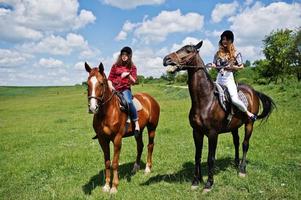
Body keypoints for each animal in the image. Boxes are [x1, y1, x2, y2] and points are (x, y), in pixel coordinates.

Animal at [84, 62, 159, 194]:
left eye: (101, 83)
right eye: (87, 84)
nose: (93, 108)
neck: (107, 112)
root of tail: (150, 99)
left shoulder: (117, 139)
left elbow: (114, 163)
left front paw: (114, 187)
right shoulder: (102, 140)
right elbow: (107, 162)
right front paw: (106, 186)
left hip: (152, 128)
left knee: (150, 146)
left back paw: (147, 169)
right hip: (138, 131)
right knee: (140, 146)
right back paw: (135, 168)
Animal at [162, 41, 274, 191]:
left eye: (189, 51)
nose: (166, 59)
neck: (206, 100)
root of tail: (253, 91)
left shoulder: (212, 134)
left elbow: (211, 158)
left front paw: (209, 183)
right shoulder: (197, 132)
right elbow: (197, 156)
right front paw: (196, 181)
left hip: (249, 124)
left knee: (245, 144)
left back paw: (242, 169)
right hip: (234, 127)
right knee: (236, 142)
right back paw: (235, 163)